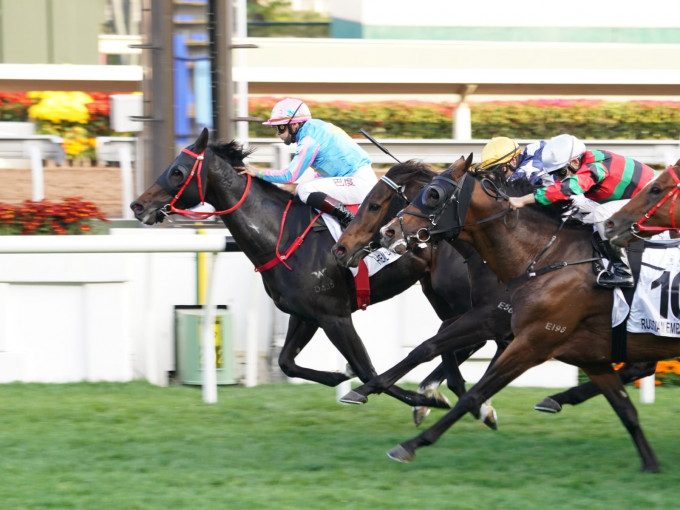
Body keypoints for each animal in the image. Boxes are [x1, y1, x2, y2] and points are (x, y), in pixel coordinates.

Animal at [130, 128, 454, 410]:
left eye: (177, 171)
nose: (137, 205)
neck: (283, 237)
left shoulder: (335, 316)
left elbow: (367, 371)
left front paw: (426, 400)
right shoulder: (305, 315)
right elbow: (287, 362)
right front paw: (339, 375)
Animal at [378, 153, 680, 472]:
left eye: (433, 195)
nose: (387, 232)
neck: (543, 256)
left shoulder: (528, 339)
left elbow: (474, 391)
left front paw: (414, 438)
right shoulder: (569, 347)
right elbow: (429, 347)